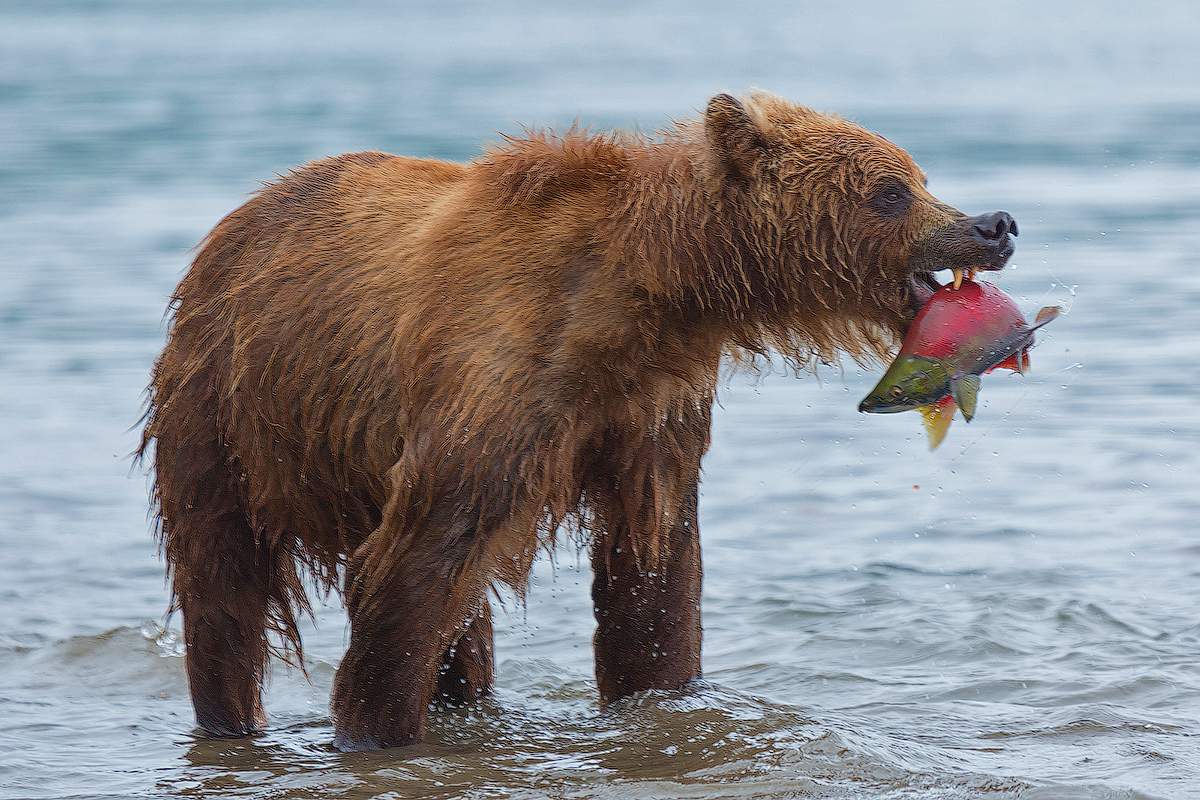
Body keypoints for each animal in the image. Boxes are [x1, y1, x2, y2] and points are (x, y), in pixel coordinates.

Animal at [145, 92, 1017, 753]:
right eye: (890, 190)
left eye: (919, 175)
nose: (994, 223)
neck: (645, 294)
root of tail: (241, 215)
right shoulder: (494, 377)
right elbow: (416, 564)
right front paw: (374, 731)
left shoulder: (648, 413)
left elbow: (653, 567)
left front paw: (661, 694)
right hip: (228, 406)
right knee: (222, 584)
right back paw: (228, 715)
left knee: (466, 628)